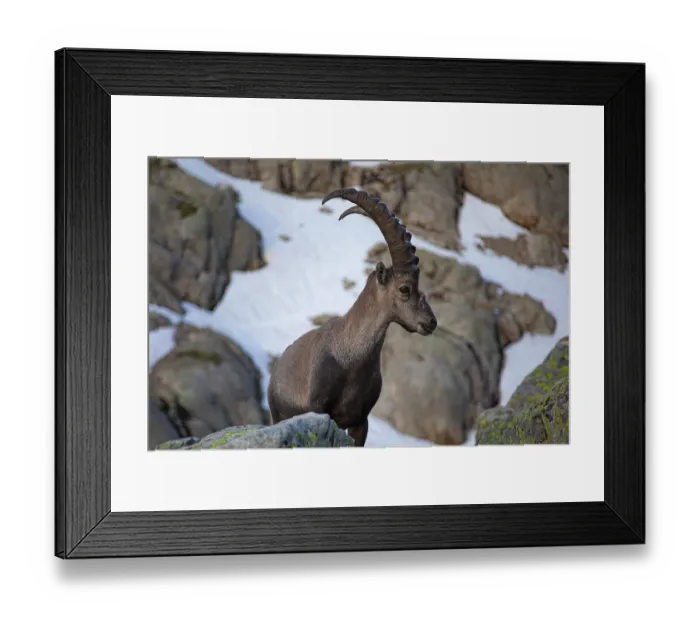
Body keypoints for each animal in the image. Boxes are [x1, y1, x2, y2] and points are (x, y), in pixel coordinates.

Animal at [267, 188, 438, 447]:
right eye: (404, 288)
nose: (431, 322)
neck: (351, 356)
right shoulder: (319, 409)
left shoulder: (360, 421)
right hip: (277, 416)